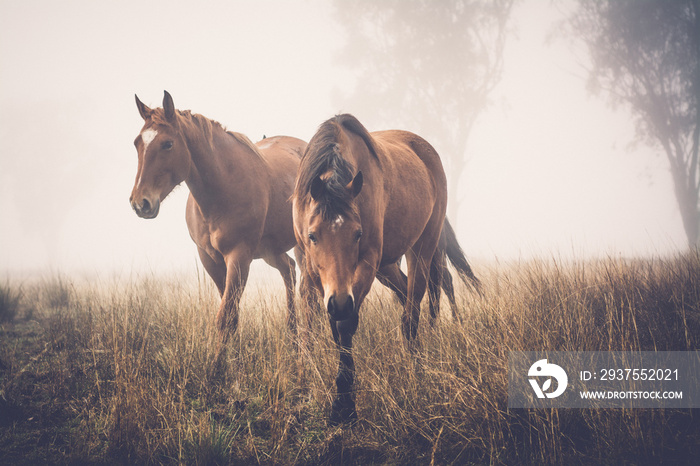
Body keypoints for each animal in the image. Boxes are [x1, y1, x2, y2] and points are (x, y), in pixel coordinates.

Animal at [131, 89, 306, 340]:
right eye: (137, 143)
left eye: (167, 144)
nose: (140, 203)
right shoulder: (210, 259)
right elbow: (232, 318)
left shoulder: (239, 257)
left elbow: (225, 318)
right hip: (270, 251)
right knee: (289, 271)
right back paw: (292, 334)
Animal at [292, 113, 446, 422]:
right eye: (313, 236)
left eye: (358, 234)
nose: (339, 301)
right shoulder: (314, 273)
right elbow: (336, 328)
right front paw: (342, 399)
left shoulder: (366, 266)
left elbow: (346, 325)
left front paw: (344, 404)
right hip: (388, 266)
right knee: (406, 295)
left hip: (421, 249)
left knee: (412, 311)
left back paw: (417, 366)